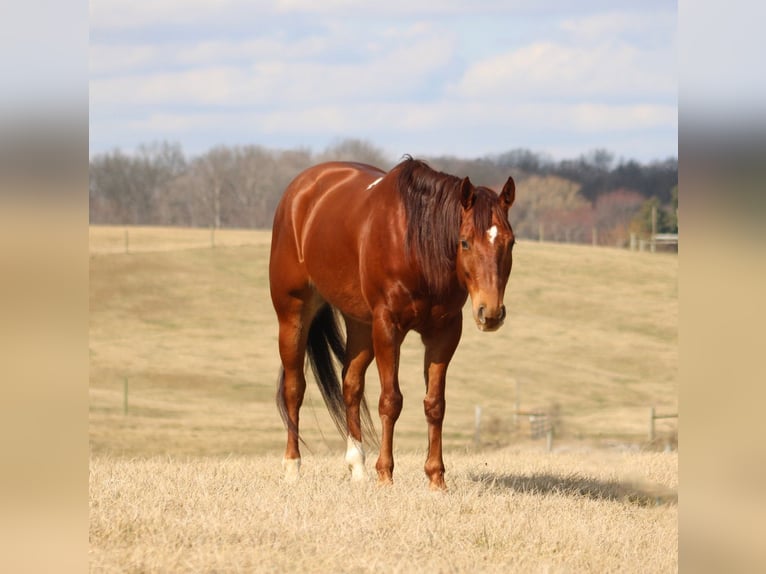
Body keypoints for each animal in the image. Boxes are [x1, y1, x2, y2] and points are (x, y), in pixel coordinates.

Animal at [269, 156, 515, 490]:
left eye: (510, 243)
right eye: (464, 242)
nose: (490, 313)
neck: (416, 248)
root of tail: (299, 189)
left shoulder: (445, 332)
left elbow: (435, 404)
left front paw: (436, 478)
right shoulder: (388, 327)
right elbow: (391, 400)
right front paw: (385, 474)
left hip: (360, 324)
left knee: (351, 385)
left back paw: (357, 468)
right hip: (293, 312)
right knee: (294, 388)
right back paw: (293, 468)